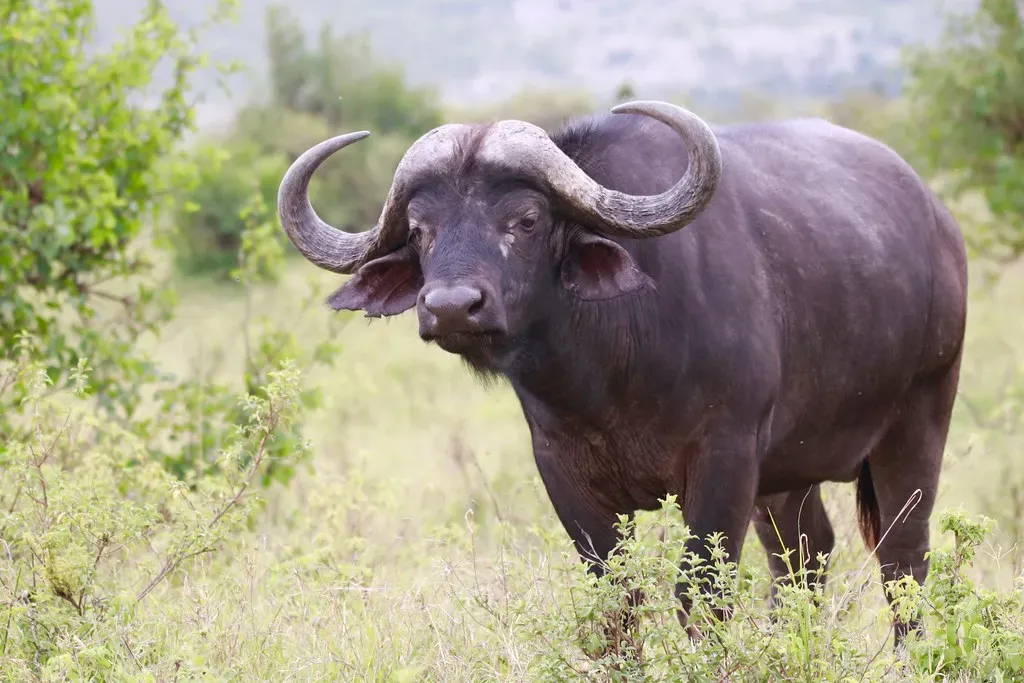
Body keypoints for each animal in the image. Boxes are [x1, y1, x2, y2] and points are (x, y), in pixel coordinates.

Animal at [277, 100, 968, 649]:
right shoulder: (565, 471)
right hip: (788, 471)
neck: (611, 371)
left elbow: (701, 597)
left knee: (903, 559)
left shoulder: (725, 457)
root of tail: (938, 223)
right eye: (421, 230)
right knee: (805, 555)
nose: (450, 306)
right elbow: (616, 601)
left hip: (918, 421)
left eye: (526, 219)